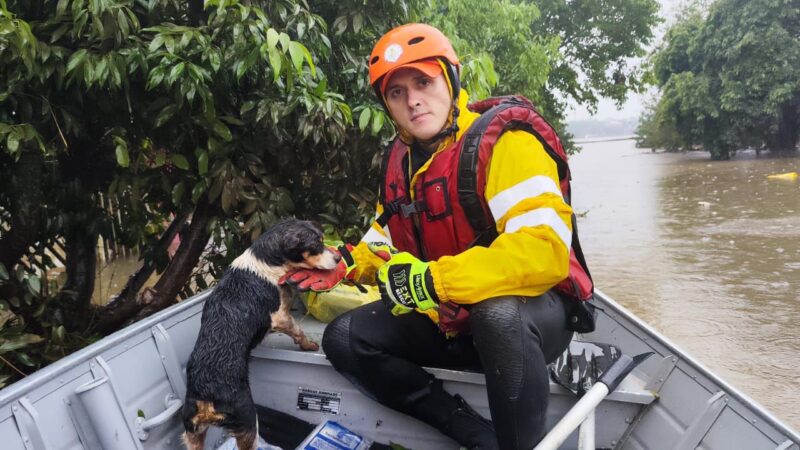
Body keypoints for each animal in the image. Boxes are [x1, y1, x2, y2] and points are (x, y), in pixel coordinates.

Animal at [181, 221, 338, 450]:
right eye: (316, 244)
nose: (339, 258)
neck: (267, 260)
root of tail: (206, 397)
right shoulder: (281, 317)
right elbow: (298, 331)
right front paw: (309, 345)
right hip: (249, 421)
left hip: (192, 434)